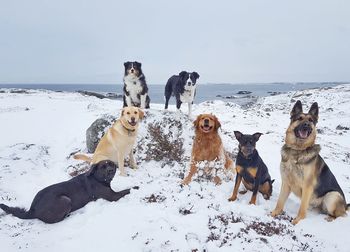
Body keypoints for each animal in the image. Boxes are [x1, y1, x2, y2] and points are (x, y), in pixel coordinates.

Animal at [0, 160, 137, 223]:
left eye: (111, 165)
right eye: (103, 167)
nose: (110, 170)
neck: (97, 178)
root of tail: (32, 210)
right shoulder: (112, 196)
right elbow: (126, 190)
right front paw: (136, 187)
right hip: (65, 200)